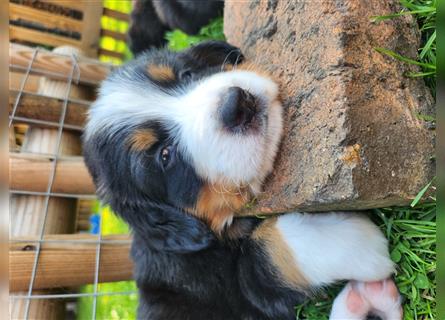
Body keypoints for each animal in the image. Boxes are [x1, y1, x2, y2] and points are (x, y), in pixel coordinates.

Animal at [82, 41, 402, 318]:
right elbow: (263, 254)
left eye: (186, 74)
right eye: (164, 155)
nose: (236, 104)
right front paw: (354, 241)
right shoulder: (241, 292)